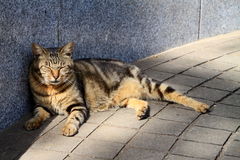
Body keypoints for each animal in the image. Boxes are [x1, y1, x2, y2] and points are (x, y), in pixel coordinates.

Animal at [24, 41, 208, 136]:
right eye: (47, 67)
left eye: (62, 67)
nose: (55, 76)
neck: (52, 90)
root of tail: (131, 65)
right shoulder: (41, 105)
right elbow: (38, 113)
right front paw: (32, 122)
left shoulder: (78, 105)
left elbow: (73, 117)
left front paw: (69, 127)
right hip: (123, 99)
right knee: (141, 101)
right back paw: (142, 111)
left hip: (150, 84)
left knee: (178, 95)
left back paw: (201, 105)